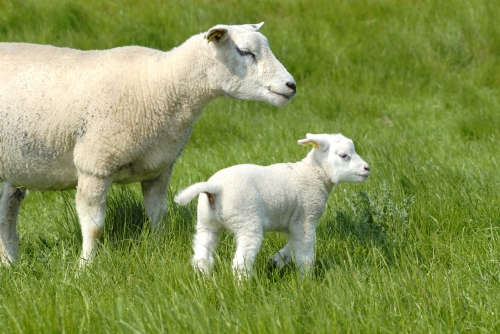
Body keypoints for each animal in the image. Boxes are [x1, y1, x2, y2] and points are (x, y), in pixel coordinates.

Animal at [0, 22, 296, 266]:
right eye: (245, 52)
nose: (291, 85)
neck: (162, 85)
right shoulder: (95, 165)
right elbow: (94, 228)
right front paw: (85, 268)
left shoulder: (159, 168)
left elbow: (158, 216)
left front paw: (158, 249)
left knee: (7, 212)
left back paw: (11, 263)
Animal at [174, 133, 370, 280]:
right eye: (344, 155)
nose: (367, 168)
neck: (313, 173)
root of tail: (215, 187)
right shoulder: (306, 218)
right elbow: (304, 253)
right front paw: (306, 281)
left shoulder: (294, 223)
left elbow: (291, 245)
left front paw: (277, 260)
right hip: (247, 220)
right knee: (240, 262)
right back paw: (243, 288)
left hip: (206, 222)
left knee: (202, 256)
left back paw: (204, 280)